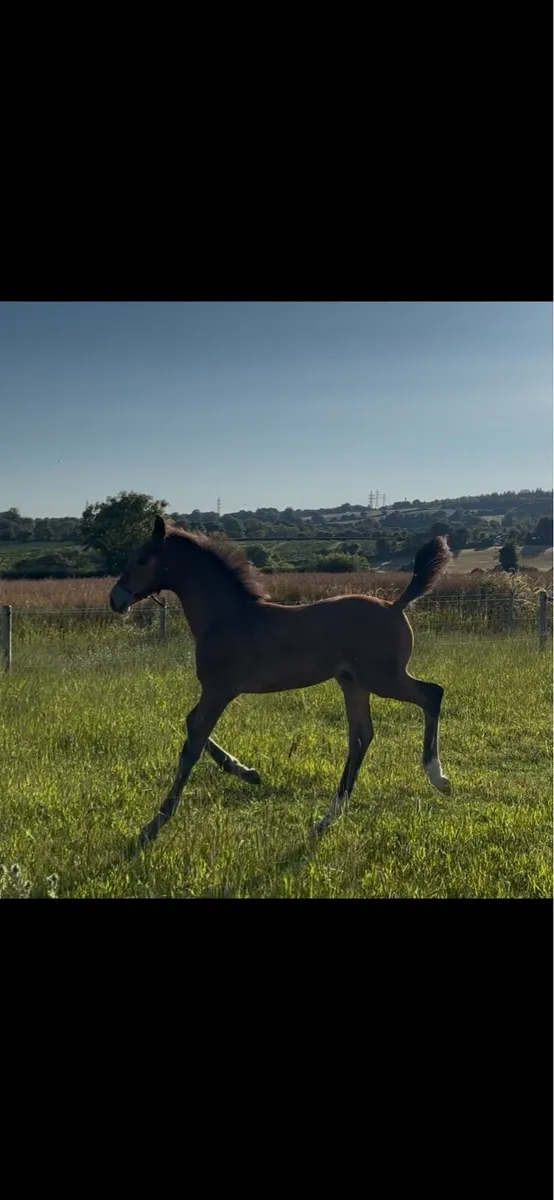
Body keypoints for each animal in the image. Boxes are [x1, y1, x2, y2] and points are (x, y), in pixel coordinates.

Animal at [110, 518, 453, 848]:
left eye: (142, 559)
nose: (116, 598)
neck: (225, 617)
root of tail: (396, 605)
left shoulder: (219, 690)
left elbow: (192, 743)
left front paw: (153, 827)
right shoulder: (215, 691)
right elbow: (192, 726)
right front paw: (246, 772)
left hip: (382, 678)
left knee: (431, 694)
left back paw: (437, 777)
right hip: (352, 682)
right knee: (361, 736)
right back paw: (328, 818)